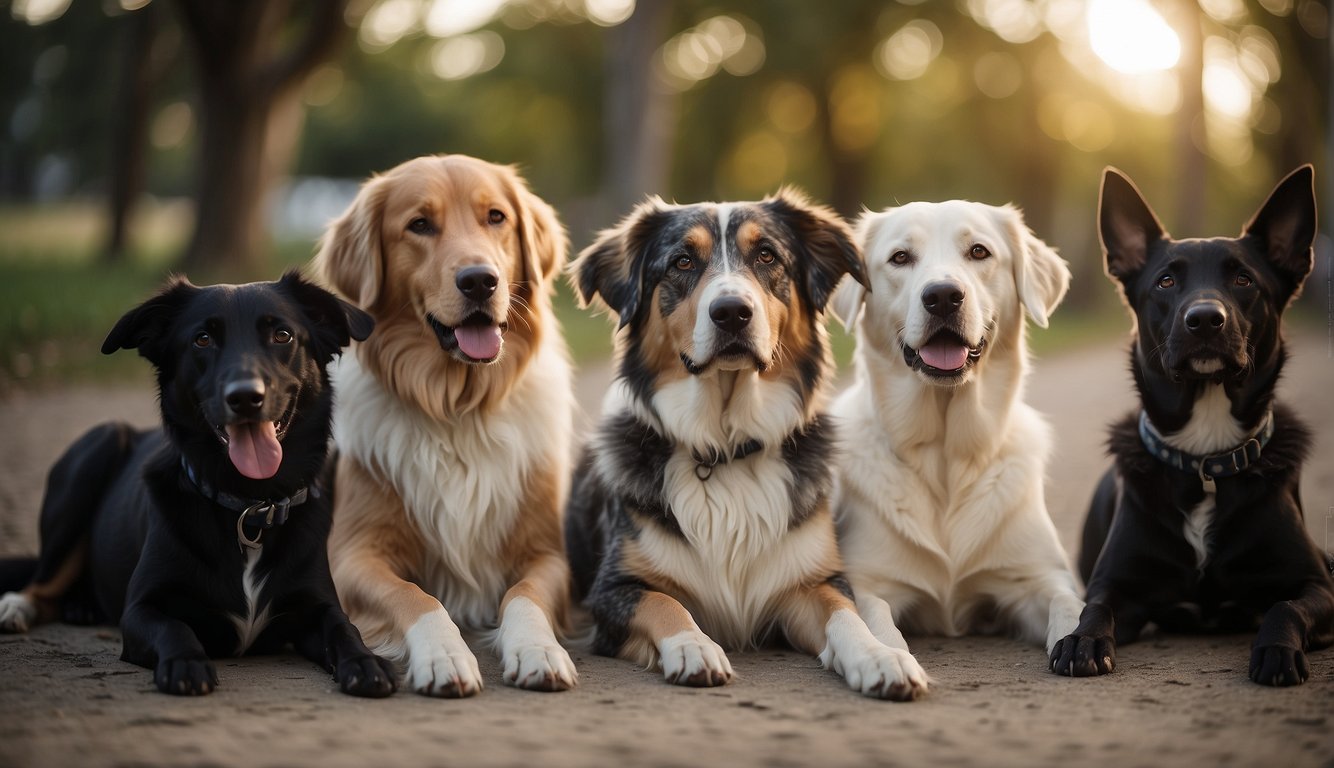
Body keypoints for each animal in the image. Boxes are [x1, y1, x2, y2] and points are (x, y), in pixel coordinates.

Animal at [0, 273, 394, 698]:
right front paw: (186, 663)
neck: (251, 506)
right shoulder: (141, 609)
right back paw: (17, 606)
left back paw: (79, 605)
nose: (245, 397)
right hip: (97, 448)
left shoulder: (317, 605)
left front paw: (366, 661)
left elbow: (344, 626)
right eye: (202, 339)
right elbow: (174, 626)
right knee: (41, 581)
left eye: (283, 335)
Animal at [827, 201, 1088, 688]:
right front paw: (887, 659)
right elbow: (878, 623)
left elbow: (1069, 603)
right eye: (900, 258)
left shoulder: (1036, 577)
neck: (946, 457)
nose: (943, 296)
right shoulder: (871, 583)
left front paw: (1083, 642)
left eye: (979, 251)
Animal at [1051, 165, 1334, 688]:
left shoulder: (1318, 586)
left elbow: (1285, 607)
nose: (1204, 319)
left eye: (1244, 279)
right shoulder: (1115, 585)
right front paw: (1082, 641)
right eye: (1165, 282)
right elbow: (1094, 609)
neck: (1205, 459)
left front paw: (1277, 651)